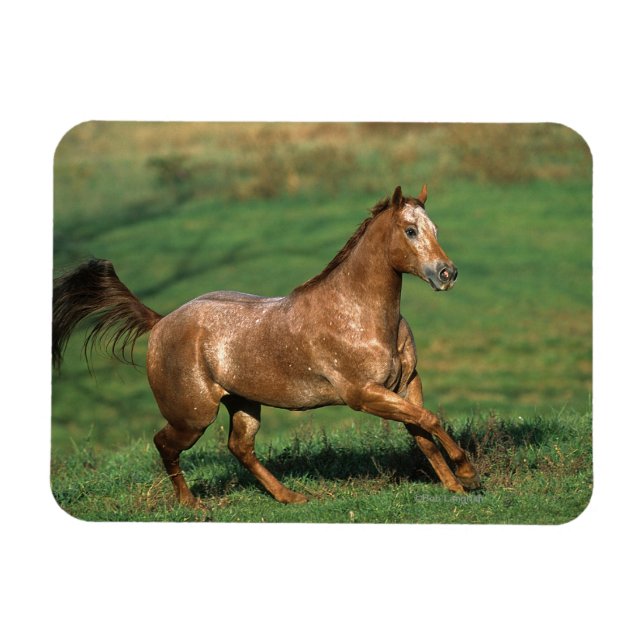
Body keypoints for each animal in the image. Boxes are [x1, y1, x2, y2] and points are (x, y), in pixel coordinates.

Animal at [52, 185, 480, 507]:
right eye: (410, 230)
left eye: (435, 228)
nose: (448, 274)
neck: (359, 314)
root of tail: (160, 322)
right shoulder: (363, 394)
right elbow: (429, 421)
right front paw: (468, 472)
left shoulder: (405, 384)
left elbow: (423, 430)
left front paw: (456, 487)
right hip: (192, 416)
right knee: (165, 444)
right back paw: (192, 505)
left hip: (243, 403)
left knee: (239, 447)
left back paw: (290, 497)